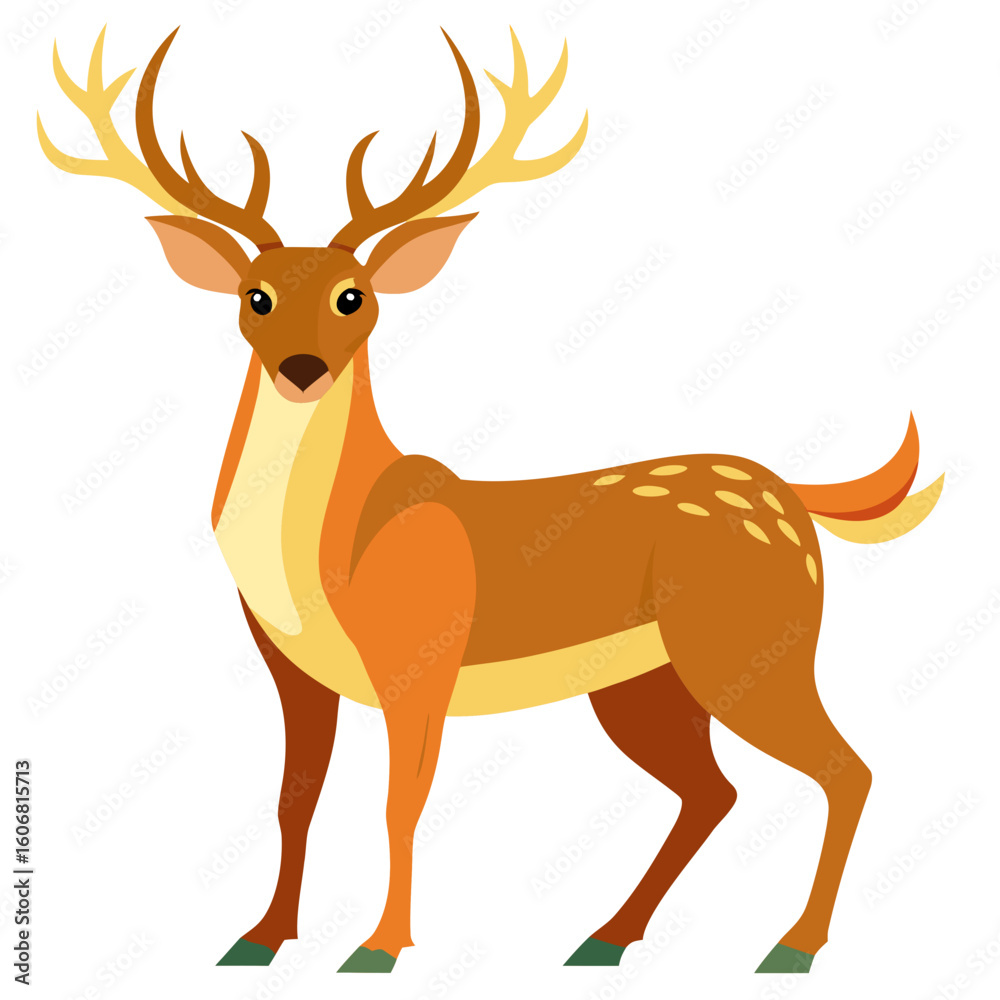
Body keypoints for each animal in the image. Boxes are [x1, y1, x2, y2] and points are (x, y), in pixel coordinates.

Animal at [38, 25, 943, 975]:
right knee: (714, 791)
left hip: (754, 640)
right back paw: (606, 938)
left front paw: (379, 948)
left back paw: (792, 947)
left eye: (352, 296)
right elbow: (295, 798)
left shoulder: (423, 654)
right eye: (257, 294)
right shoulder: (289, 666)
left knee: (846, 768)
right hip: (644, 682)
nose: (302, 368)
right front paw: (258, 938)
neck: (328, 559)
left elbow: (400, 800)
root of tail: (791, 494)